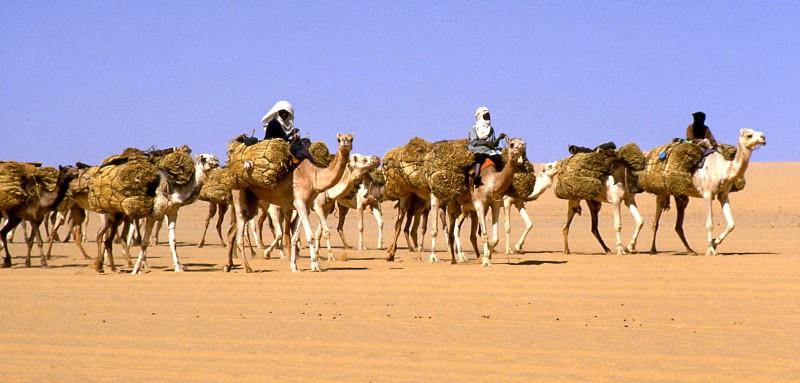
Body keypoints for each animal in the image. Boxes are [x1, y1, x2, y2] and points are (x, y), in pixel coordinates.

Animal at [223, 134, 352, 274]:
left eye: (351, 139)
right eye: (339, 139)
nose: (345, 144)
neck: (313, 177)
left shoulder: (304, 206)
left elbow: (294, 236)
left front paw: (294, 267)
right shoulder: (300, 202)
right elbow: (309, 236)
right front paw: (315, 266)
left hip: (251, 203)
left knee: (232, 230)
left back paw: (228, 265)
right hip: (239, 192)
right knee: (240, 231)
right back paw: (248, 267)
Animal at [648, 129, 764, 258]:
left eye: (760, 133)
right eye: (749, 135)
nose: (763, 138)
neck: (723, 170)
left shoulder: (723, 195)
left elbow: (731, 224)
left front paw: (715, 242)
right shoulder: (707, 194)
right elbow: (710, 223)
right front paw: (710, 250)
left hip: (680, 195)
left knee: (678, 224)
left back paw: (691, 251)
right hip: (662, 191)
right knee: (656, 221)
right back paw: (653, 250)